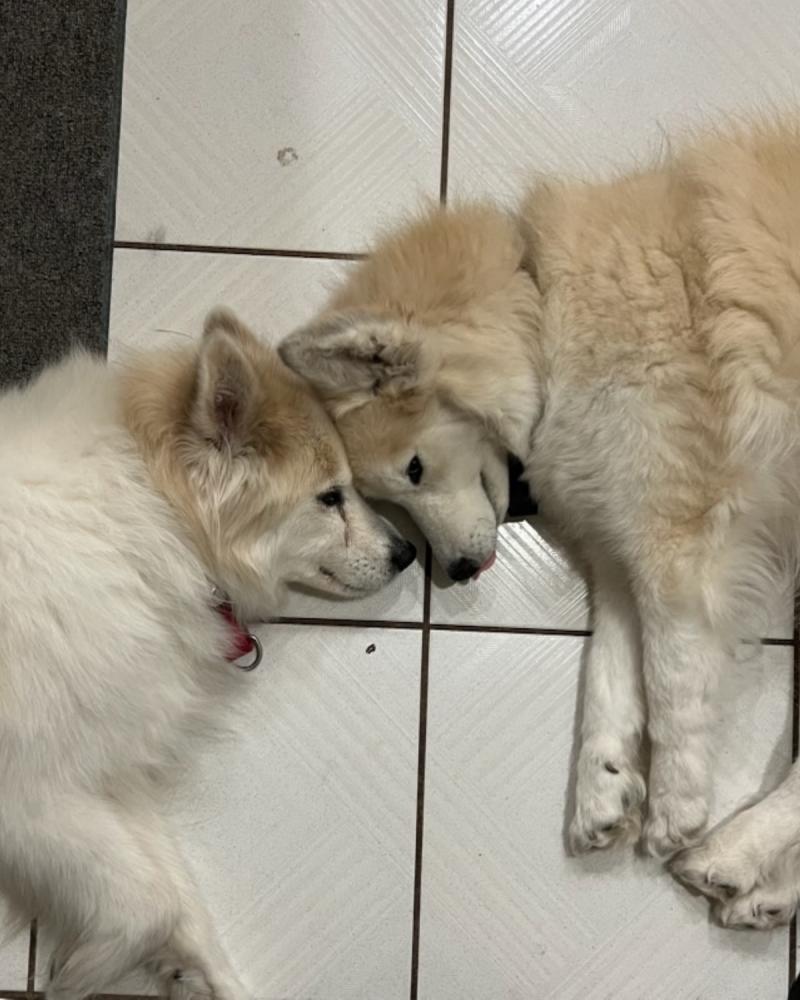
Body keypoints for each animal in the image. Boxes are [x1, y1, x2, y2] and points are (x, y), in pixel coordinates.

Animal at [0, 307, 415, 999]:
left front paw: (196, 976)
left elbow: (170, 893)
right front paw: (79, 974)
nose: (407, 552)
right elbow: (148, 903)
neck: (151, 516)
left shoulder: (106, 763)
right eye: (330, 497)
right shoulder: (30, 789)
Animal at [280, 116, 800, 929]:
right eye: (394, 496)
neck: (546, 305)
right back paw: (765, 886)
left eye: (414, 471)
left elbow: (670, 677)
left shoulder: (672, 542)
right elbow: (610, 673)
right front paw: (603, 788)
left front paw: (675, 803)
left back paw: (730, 851)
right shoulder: (617, 546)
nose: (458, 573)